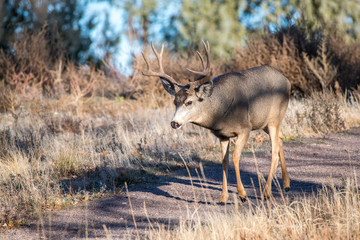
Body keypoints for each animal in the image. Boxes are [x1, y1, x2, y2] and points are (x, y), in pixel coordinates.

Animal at [142, 40, 292, 203]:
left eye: (189, 102)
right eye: (175, 102)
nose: (174, 123)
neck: (221, 112)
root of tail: (287, 81)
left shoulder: (245, 128)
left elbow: (235, 157)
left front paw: (242, 194)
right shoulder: (222, 135)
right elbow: (224, 161)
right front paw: (223, 197)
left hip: (274, 118)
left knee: (274, 152)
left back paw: (266, 192)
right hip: (264, 122)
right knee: (281, 138)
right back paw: (286, 184)